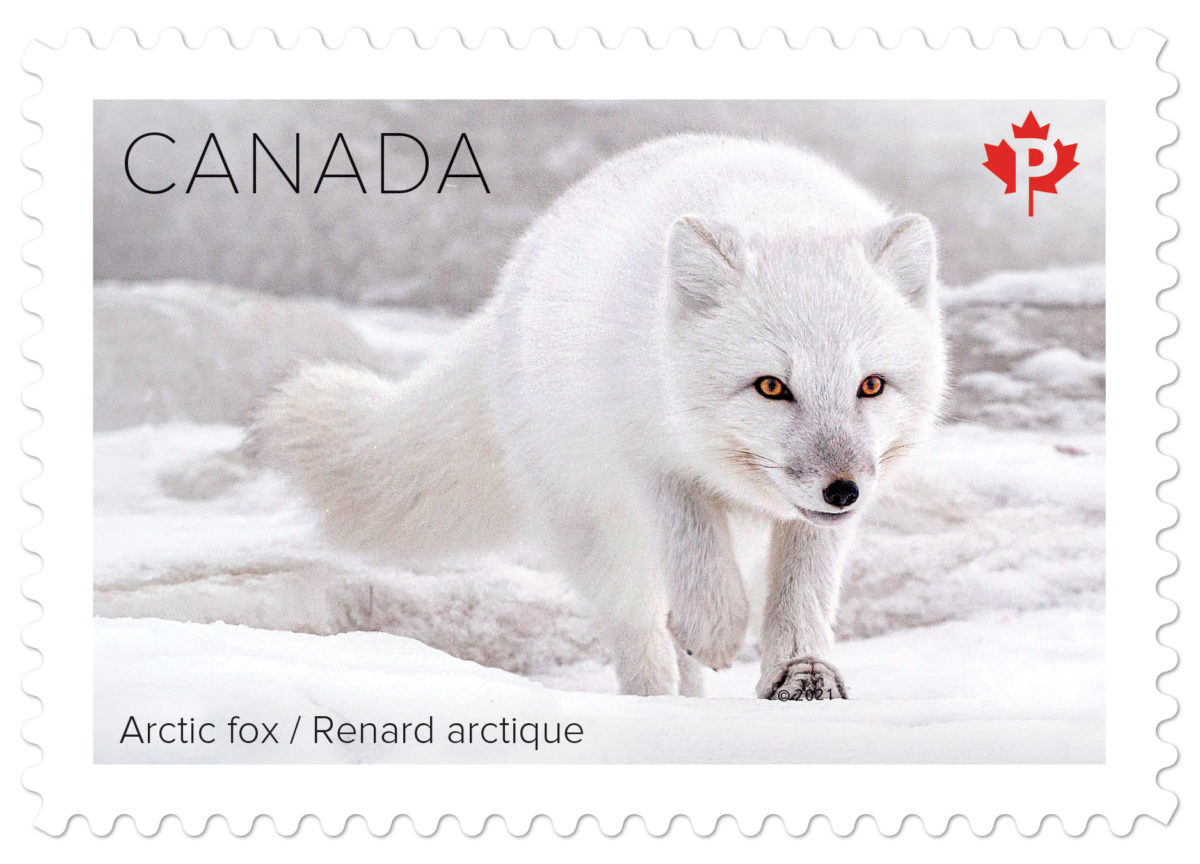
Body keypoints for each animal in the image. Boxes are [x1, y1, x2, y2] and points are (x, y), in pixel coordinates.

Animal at [253, 133, 948, 700]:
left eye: (871, 385)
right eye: (772, 387)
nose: (843, 491)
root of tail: (512, 283)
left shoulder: (810, 516)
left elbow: (804, 588)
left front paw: (802, 673)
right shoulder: (644, 450)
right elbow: (692, 546)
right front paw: (716, 628)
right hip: (595, 526)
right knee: (640, 625)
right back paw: (658, 699)